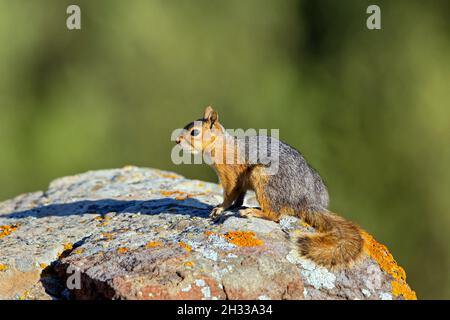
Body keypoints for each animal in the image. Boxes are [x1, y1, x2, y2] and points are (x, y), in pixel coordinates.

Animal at [176, 106, 366, 268]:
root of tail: (307, 201)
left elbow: (230, 193)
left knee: (275, 214)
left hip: (264, 178)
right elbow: (240, 195)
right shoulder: (240, 181)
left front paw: (220, 208)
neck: (221, 145)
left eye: (194, 132)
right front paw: (235, 205)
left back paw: (253, 212)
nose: (177, 140)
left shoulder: (230, 174)